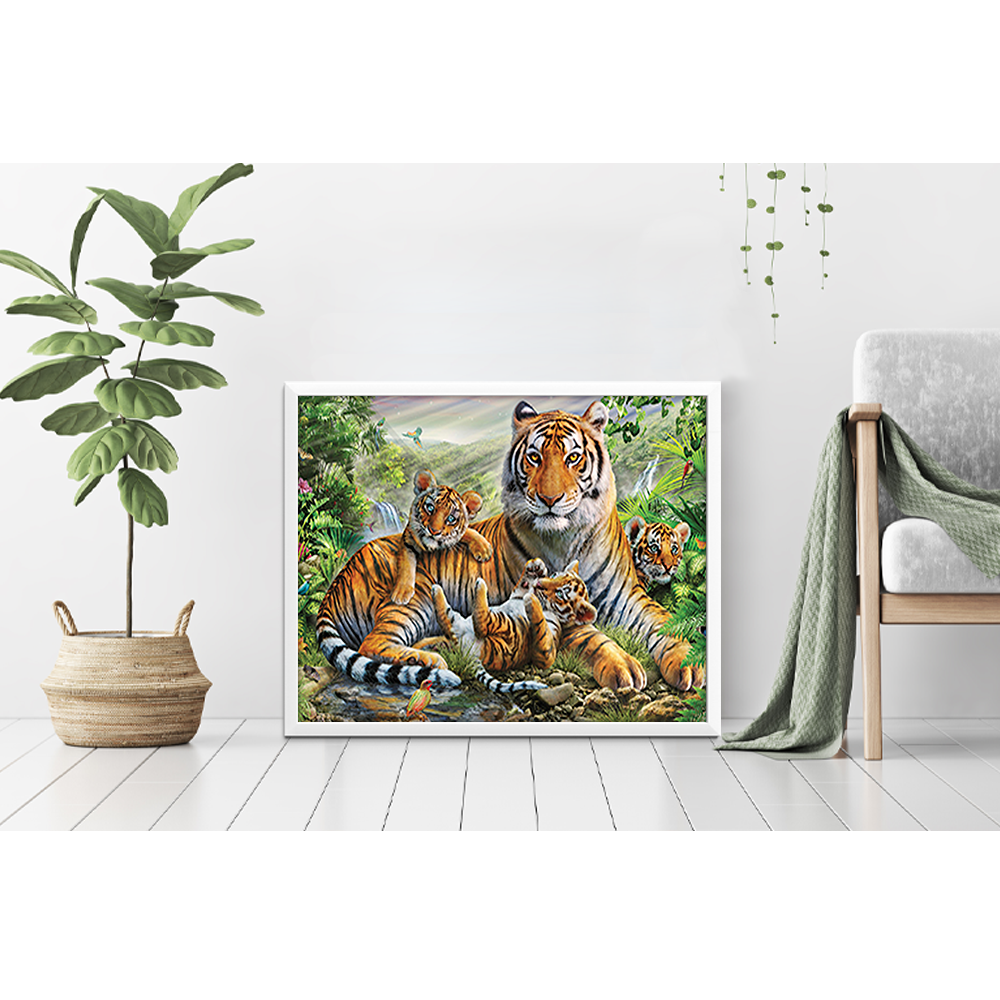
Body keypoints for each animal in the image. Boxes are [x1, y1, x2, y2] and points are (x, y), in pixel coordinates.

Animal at [390, 469, 493, 606]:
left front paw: (484, 548)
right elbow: (406, 564)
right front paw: (401, 592)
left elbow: (466, 532)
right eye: (430, 508)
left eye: (451, 518)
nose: (434, 531)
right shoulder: (408, 539)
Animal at [429, 558, 600, 692]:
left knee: (483, 622)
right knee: (447, 621)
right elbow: (521, 585)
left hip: (509, 631)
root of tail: (469, 653)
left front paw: (532, 600)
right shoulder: (517, 594)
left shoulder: (547, 654)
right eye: (553, 576)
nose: (539, 583)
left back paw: (480, 585)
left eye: (559, 593)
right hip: (459, 623)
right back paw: (436, 589)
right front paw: (536, 566)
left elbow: (542, 629)